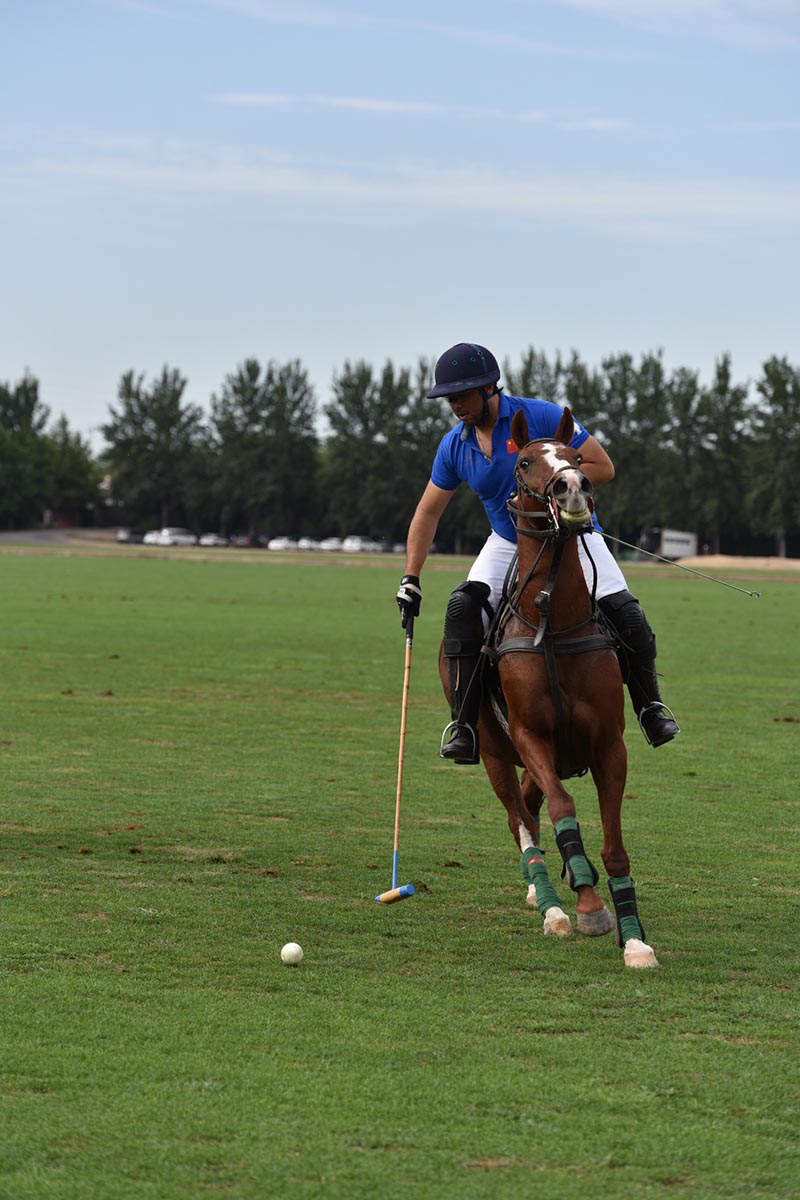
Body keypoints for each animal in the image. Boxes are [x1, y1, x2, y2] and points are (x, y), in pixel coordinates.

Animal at [441, 408, 662, 969]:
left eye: (577, 456)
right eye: (523, 463)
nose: (572, 489)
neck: (553, 622)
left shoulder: (609, 744)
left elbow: (613, 845)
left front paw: (634, 938)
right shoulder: (529, 736)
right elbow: (564, 810)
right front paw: (587, 907)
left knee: (529, 807)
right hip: (494, 749)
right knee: (519, 817)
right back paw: (550, 902)